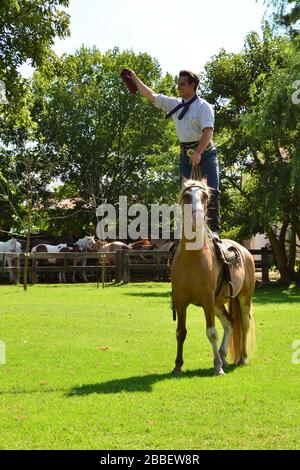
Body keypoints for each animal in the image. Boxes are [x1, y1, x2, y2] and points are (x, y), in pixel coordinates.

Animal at [171, 178, 255, 376]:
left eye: (205, 196)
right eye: (186, 196)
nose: (197, 219)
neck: (192, 259)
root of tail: (246, 252)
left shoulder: (207, 301)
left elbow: (211, 333)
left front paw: (217, 367)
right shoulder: (180, 301)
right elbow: (181, 332)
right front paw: (177, 366)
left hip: (243, 298)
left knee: (244, 324)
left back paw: (242, 358)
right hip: (218, 304)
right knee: (230, 323)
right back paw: (224, 356)